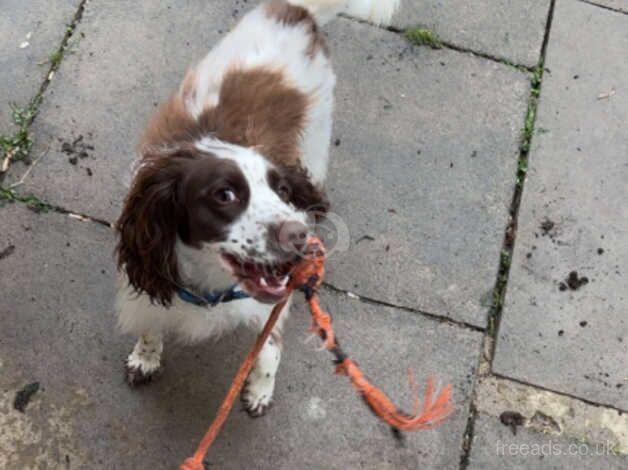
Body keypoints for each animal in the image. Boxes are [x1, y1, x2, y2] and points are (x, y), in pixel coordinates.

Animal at [115, 0, 400, 414]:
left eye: (282, 190)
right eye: (224, 195)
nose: (299, 236)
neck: (211, 286)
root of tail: (297, 10)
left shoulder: (269, 303)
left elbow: (269, 346)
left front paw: (260, 389)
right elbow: (151, 326)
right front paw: (145, 358)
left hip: (317, 134)